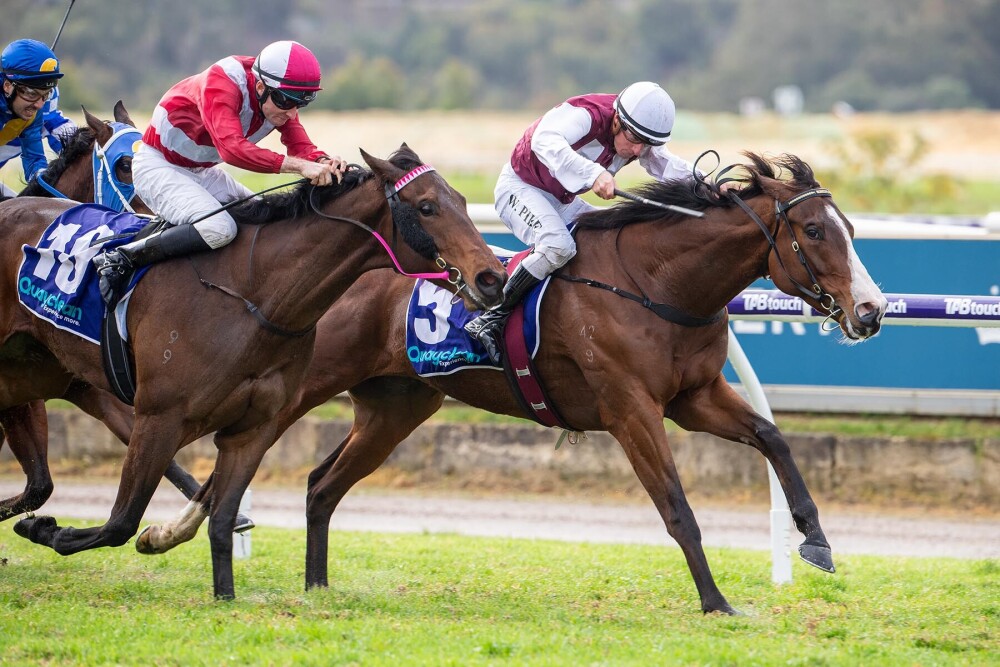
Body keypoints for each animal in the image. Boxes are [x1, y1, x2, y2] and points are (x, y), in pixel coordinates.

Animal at [0, 144, 500, 596]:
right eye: (427, 206)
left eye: (460, 199)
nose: (492, 276)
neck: (253, 292)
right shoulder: (159, 417)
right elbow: (120, 522)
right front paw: (43, 530)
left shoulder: (252, 427)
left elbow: (221, 522)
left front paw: (224, 596)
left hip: (30, 374)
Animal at [146, 153, 884, 616]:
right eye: (814, 230)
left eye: (849, 228)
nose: (872, 311)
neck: (657, 284)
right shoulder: (631, 409)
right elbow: (677, 506)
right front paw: (717, 601)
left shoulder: (692, 397)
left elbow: (773, 438)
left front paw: (816, 541)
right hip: (299, 387)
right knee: (227, 462)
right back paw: (169, 532)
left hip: (396, 407)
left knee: (321, 484)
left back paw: (317, 586)